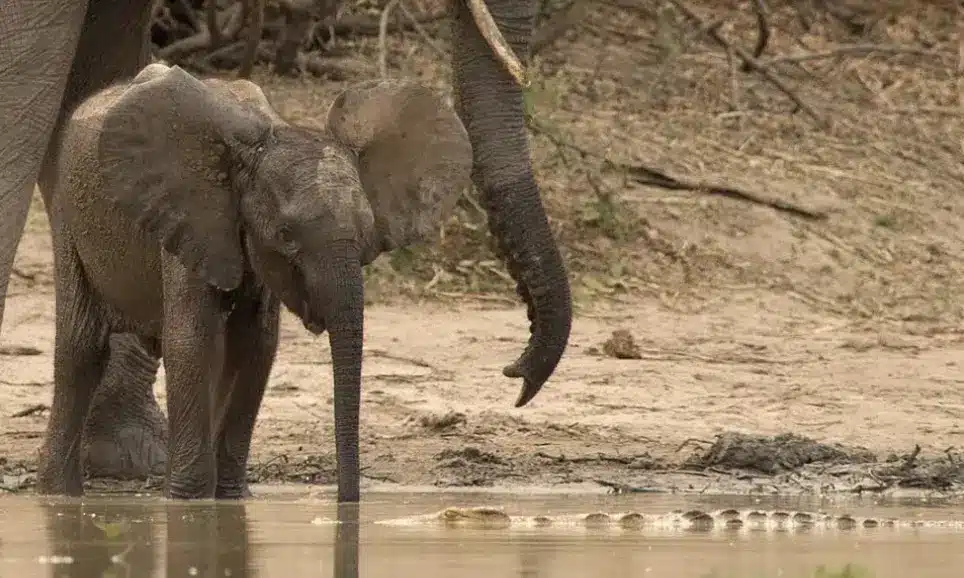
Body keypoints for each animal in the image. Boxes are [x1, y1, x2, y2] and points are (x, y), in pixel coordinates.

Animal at [38, 64, 474, 500]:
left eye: (367, 234)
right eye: (285, 235)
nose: (345, 501)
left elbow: (255, 347)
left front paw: (231, 499)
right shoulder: (190, 218)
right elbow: (192, 342)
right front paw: (189, 501)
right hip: (66, 213)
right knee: (81, 347)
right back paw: (58, 494)